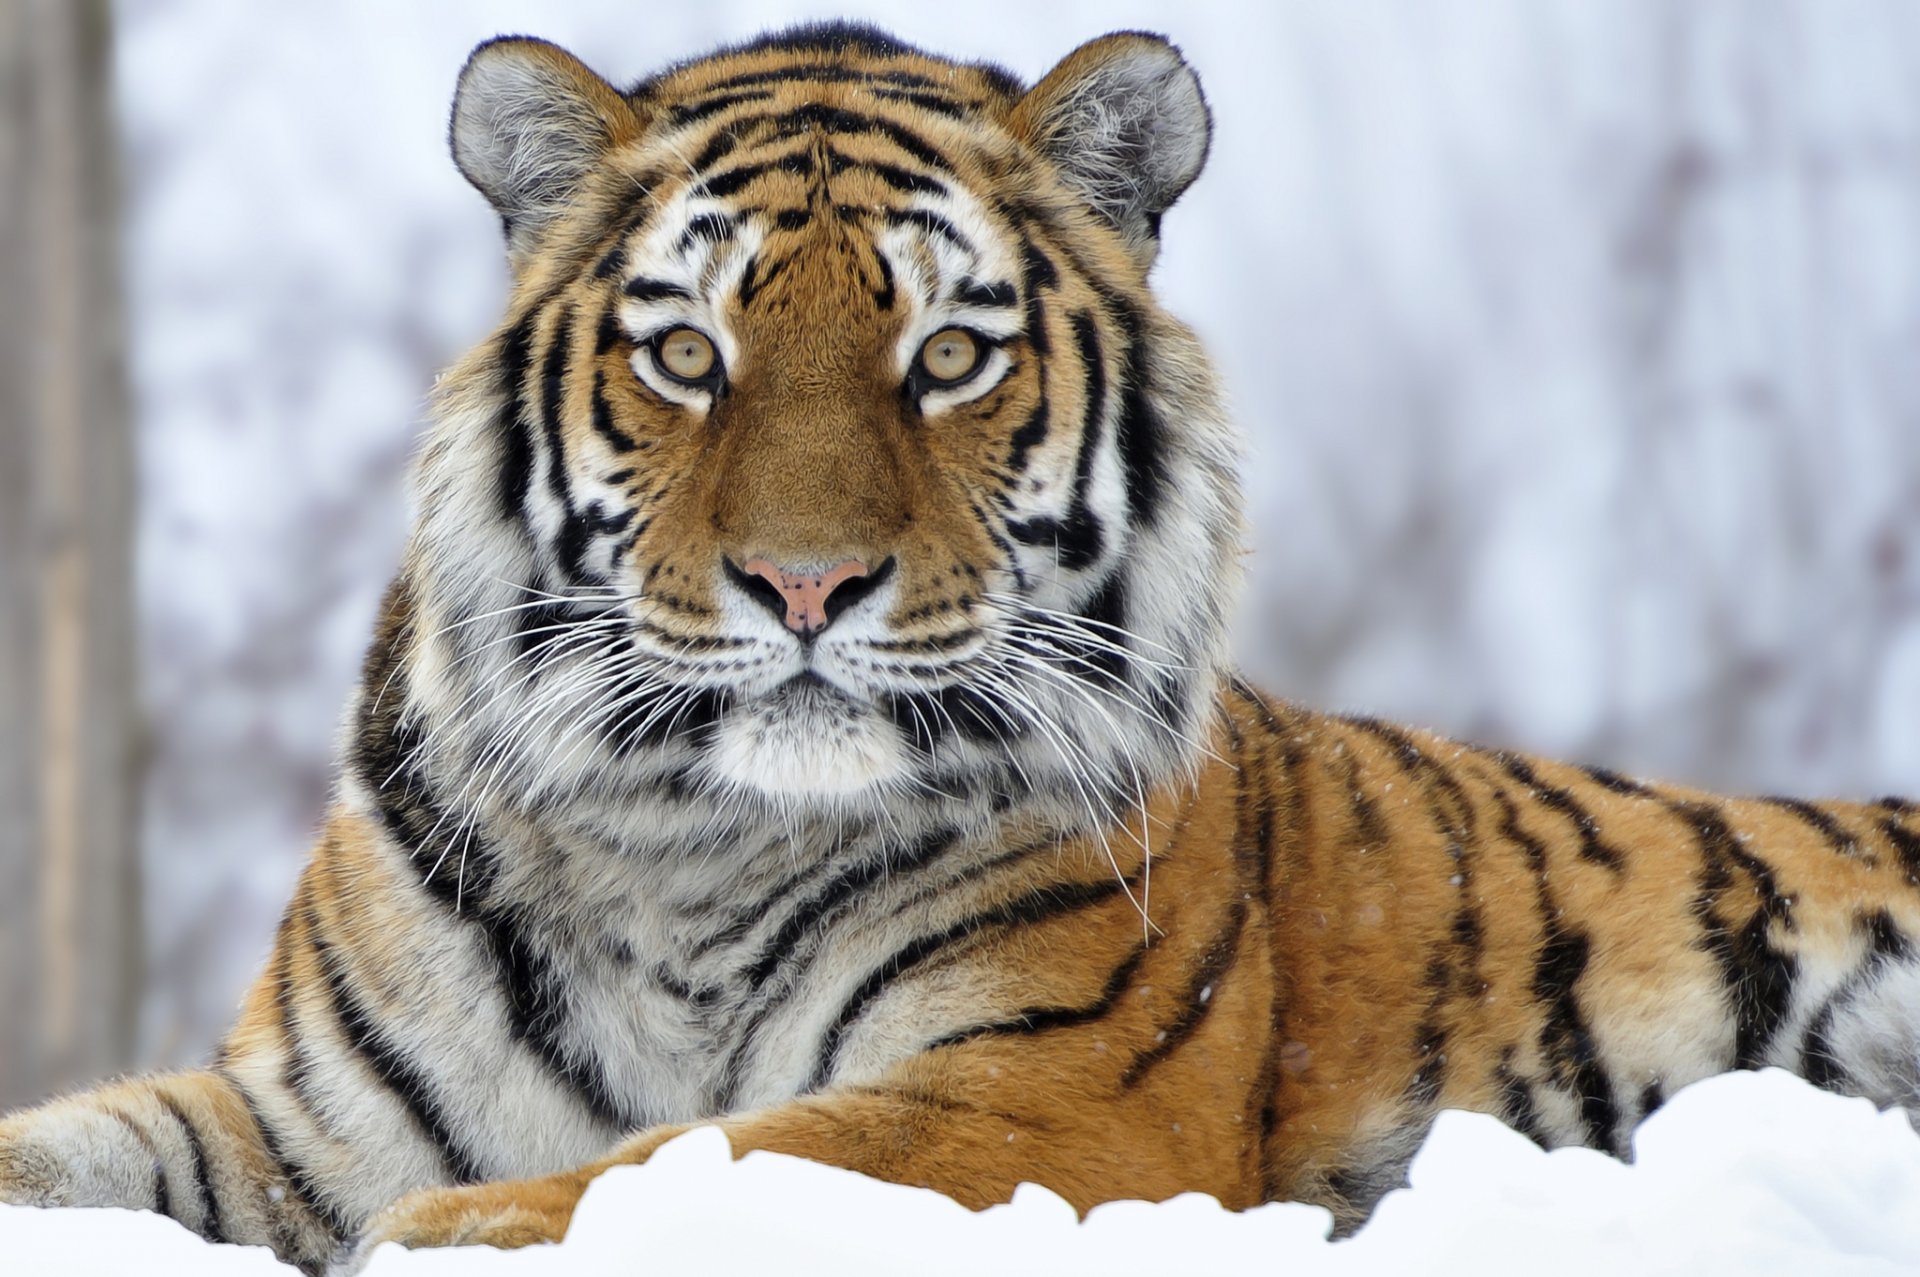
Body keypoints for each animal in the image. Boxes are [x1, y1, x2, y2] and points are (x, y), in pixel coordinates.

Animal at [3, 19, 1920, 1275]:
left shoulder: (1041, 1090)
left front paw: (448, 1240)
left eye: (946, 357)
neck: (688, 843)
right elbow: (81, 1142)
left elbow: (705, 1153)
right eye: (688, 355)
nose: (804, 585)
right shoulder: (310, 1119)